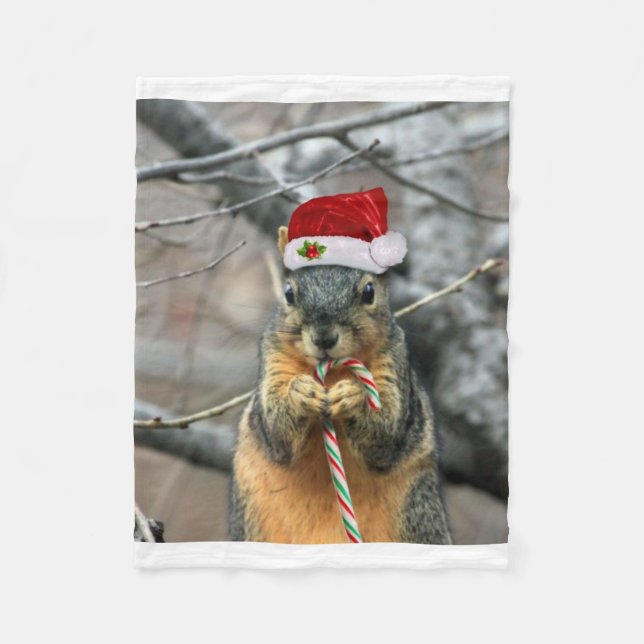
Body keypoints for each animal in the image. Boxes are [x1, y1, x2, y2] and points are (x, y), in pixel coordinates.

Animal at [229, 203, 452, 544]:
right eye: (289, 293)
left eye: (369, 291)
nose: (323, 338)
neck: (330, 374)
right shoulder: (273, 360)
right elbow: (276, 432)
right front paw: (300, 393)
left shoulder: (394, 364)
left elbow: (386, 432)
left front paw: (353, 396)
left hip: (418, 519)